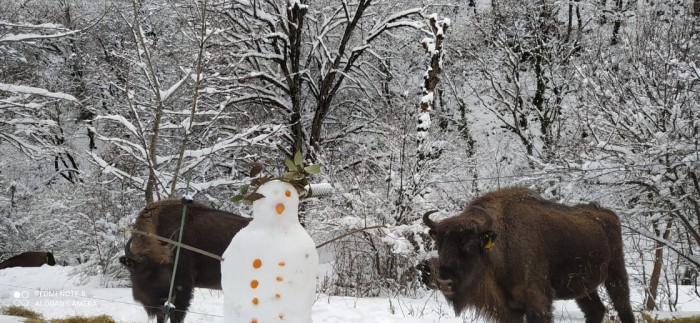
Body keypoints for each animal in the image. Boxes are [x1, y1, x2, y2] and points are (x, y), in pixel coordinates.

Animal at [424, 187, 636, 323]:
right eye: (439, 243)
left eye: (468, 243)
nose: (444, 282)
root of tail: (608, 214)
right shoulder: (509, 309)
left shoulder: (538, 303)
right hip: (583, 287)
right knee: (596, 310)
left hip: (615, 273)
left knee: (623, 306)